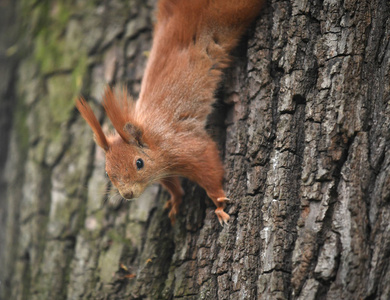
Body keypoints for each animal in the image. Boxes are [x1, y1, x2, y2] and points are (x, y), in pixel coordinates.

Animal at [75, 0, 266, 225]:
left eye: (139, 163)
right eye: (107, 173)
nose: (127, 194)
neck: (155, 142)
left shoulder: (185, 147)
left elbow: (209, 168)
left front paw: (218, 203)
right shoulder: (164, 171)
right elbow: (173, 185)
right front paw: (176, 200)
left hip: (234, 12)